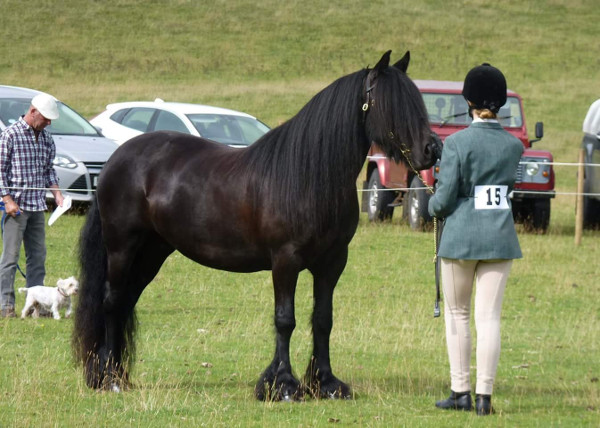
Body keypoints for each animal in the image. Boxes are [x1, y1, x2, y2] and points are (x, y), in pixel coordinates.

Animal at [74, 51, 440, 402]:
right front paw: (282, 385)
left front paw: (326, 383)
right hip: (122, 248)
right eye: (390, 103)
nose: (432, 149)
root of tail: (117, 158)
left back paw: (116, 375)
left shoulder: (332, 263)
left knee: (126, 301)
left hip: (152, 252)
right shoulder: (285, 261)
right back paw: (109, 379)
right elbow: (285, 319)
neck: (310, 177)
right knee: (112, 302)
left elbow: (323, 320)